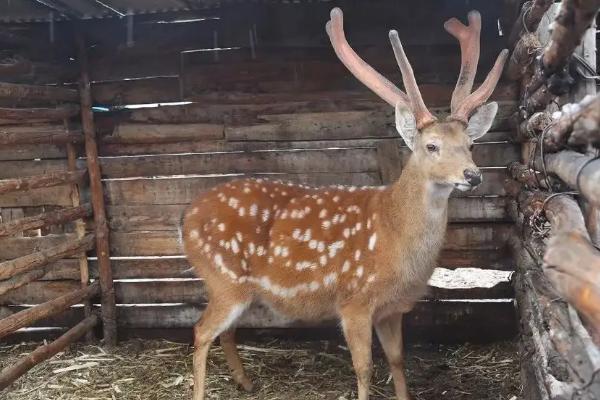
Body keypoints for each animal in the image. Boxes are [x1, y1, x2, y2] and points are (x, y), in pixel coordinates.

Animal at [182, 7, 506, 400]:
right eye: (431, 146)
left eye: (471, 144)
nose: (473, 175)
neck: (394, 238)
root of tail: (185, 218)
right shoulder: (354, 301)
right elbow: (364, 369)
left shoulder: (392, 309)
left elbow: (398, 361)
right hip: (223, 279)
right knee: (200, 331)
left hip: (236, 289)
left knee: (224, 331)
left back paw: (246, 382)